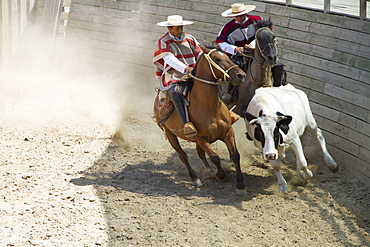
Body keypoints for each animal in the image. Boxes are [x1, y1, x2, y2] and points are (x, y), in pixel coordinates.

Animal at [153, 45, 249, 196]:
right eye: (217, 59)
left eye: (228, 56)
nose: (241, 75)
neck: (210, 108)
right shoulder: (201, 138)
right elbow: (215, 157)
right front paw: (220, 175)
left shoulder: (228, 132)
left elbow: (235, 155)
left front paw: (240, 185)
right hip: (170, 134)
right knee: (183, 155)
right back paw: (196, 178)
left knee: (200, 153)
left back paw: (208, 170)